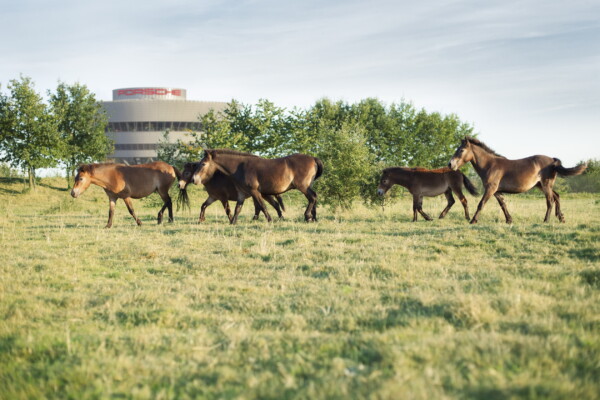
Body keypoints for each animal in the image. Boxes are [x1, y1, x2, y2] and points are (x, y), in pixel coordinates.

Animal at [192, 151, 324, 225]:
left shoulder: (254, 191)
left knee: (312, 197)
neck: (240, 167)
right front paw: (233, 222)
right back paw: (314, 218)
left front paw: (270, 220)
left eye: (203, 164)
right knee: (314, 197)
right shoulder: (241, 193)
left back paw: (307, 216)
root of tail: (313, 158)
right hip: (307, 186)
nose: (194, 179)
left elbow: (262, 206)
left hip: (303, 186)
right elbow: (237, 209)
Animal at [450, 137, 584, 225]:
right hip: (541, 185)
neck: (490, 165)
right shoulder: (496, 191)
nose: (450, 164)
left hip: (546, 185)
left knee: (550, 200)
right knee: (556, 196)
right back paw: (561, 217)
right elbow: (503, 205)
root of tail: (553, 160)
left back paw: (546, 220)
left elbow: (481, 204)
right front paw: (509, 220)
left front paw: (473, 220)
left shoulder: (490, 189)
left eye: (461, 150)